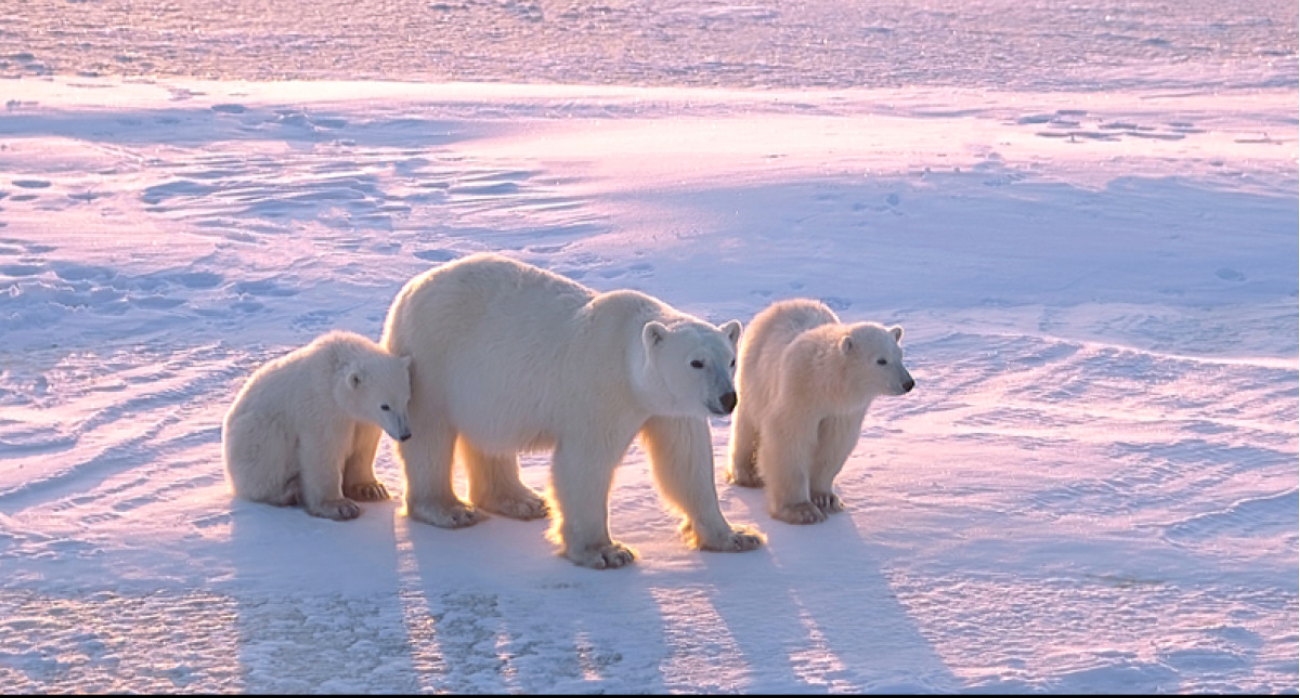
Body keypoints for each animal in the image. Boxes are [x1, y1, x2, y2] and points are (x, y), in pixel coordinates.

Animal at [222, 330, 413, 521]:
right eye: (385, 406)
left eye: (406, 400)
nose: (405, 434)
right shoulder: (321, 407)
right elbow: (322, 450)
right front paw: (340, 506)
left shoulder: (361, 420)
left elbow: (363, 446)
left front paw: (371, 489)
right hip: (254, 435)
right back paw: (288, 491)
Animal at [376, 252, 764, 569]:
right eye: (696, 362)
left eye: (730, 360)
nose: (728, 399)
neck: (627, 358)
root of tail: (409, 289)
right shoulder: (601, 389)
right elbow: (585, 464)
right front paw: (605, 552)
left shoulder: (670, 408)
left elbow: (686, 463)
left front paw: (736, 536)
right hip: (432, 359)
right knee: (430, 435)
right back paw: (449, 510)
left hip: (484, 385)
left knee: (490, 438)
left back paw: (520, 501)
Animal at [726, 299, 914, 525]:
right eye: (881, 360)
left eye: (900, 355)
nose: (908, 383)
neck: (825, 385)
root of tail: (783, 303)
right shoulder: (798, 394)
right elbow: (788, 440)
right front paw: (801, 510)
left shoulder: (843, 412)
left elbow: (833, 445)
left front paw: (825, 499)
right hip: (754, 372)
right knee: (747, 421)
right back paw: (746, 474)